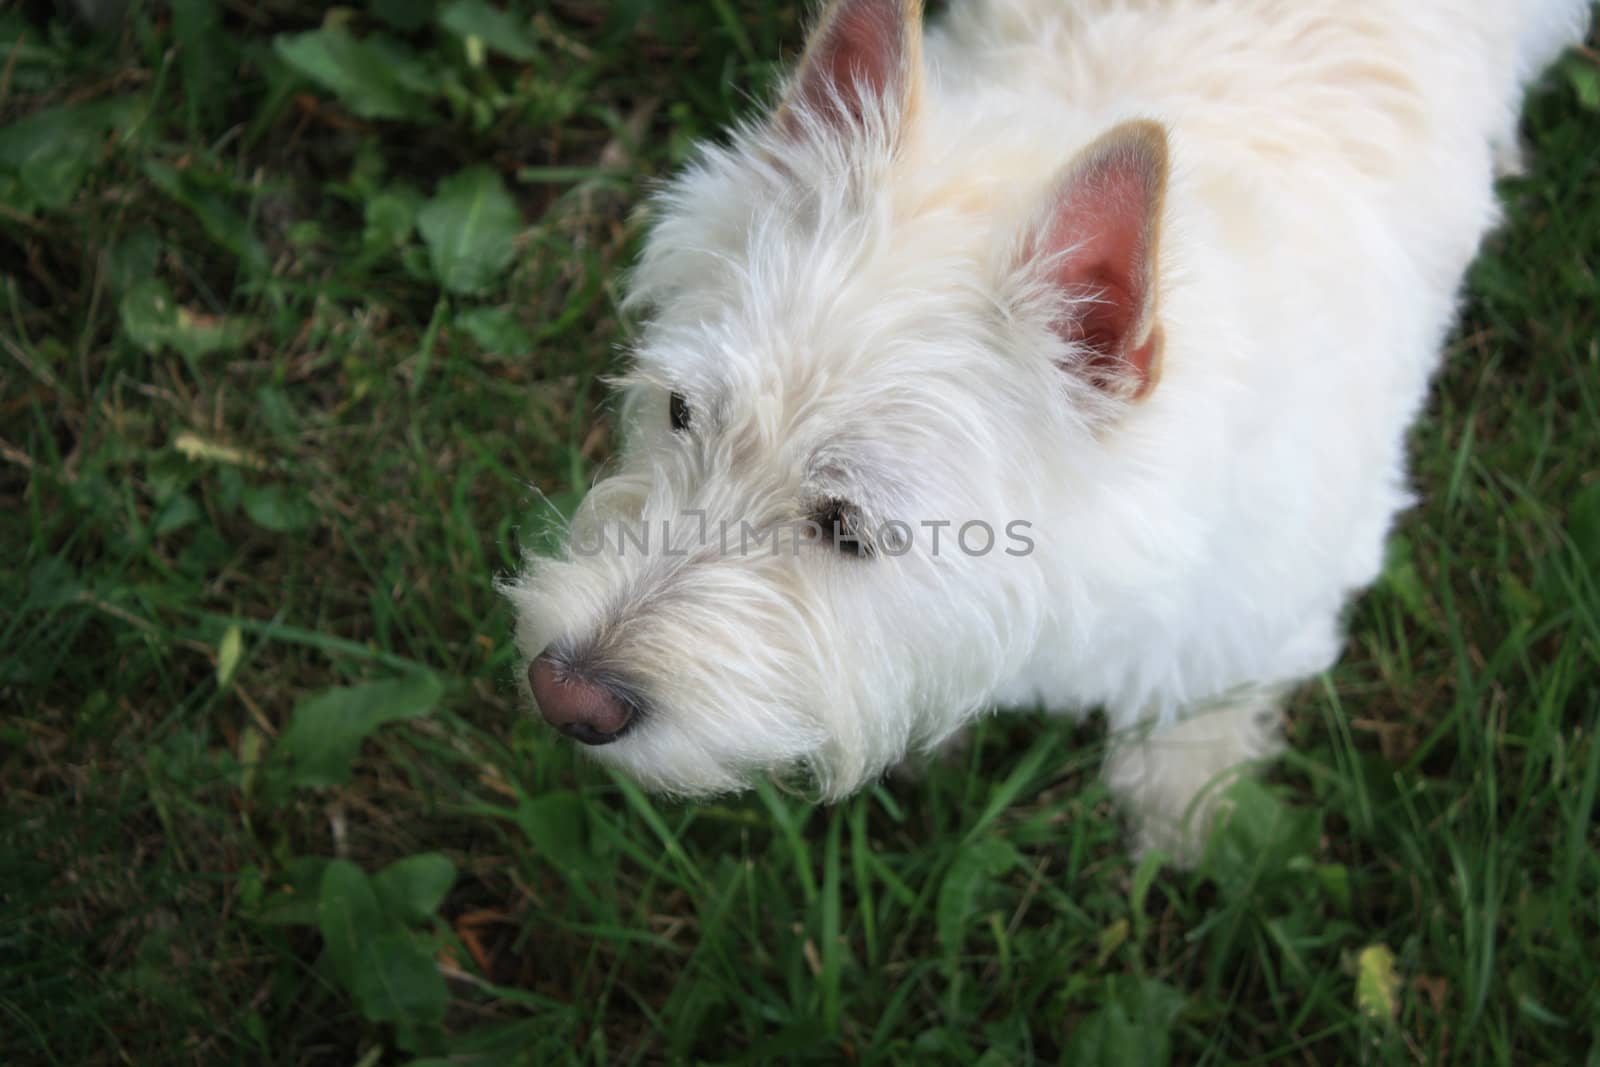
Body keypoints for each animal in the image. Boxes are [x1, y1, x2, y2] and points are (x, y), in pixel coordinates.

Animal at [505, 0, 1593, 851]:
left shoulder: (1278, 584)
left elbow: (1202, 698)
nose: (564, 695)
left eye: (848, 527)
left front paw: (1186, 812)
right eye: (679, 411)